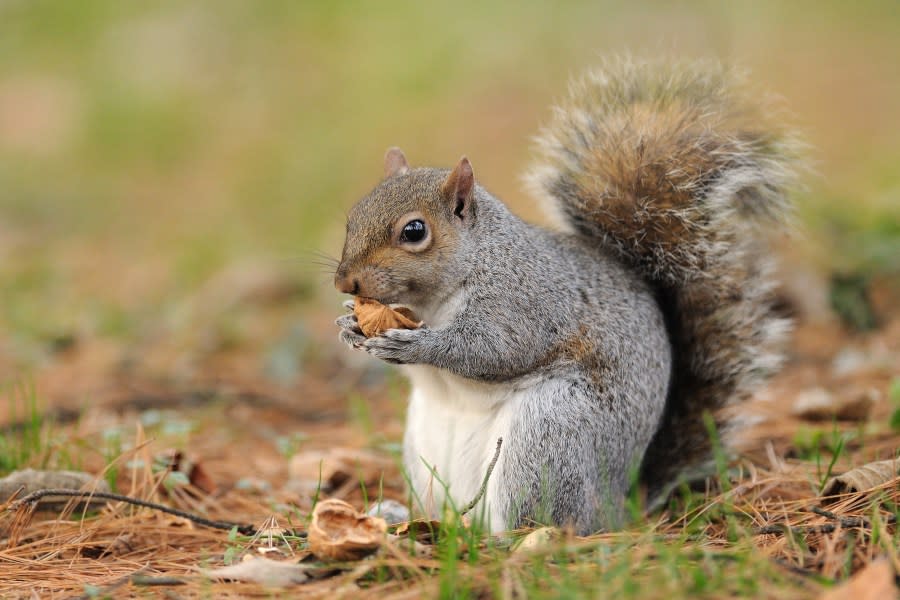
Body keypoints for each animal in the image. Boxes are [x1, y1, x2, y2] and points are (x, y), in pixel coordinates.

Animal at [334, 57, 800, 536]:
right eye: (353, 217)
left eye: (414, 231)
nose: (345, 283)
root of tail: (617, 503)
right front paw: (350, 325)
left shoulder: (523, 301)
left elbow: (495, 350)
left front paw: (416, 345)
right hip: (425, 453)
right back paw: (407, 518)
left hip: (549, 435)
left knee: (541, 520)